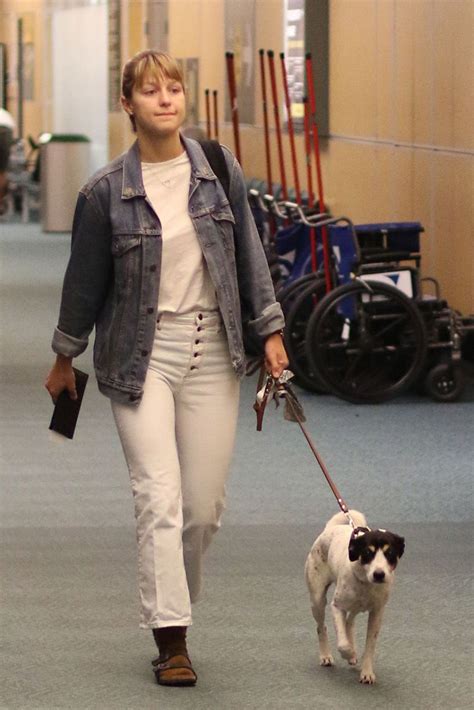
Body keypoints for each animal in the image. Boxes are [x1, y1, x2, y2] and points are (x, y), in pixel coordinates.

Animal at [306, 512, 406, 684]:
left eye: (390, 553)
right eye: (368, 553)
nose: (379, 574)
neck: (365, 582)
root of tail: (331, 528)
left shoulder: (377, 612)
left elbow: (370, 646)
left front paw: (367, 672)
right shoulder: (337, 607)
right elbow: (342, 643)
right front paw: (349, 653)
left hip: (355, 606)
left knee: (349, 622)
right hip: (317, 600)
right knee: (321, 627)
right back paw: (326, 655)